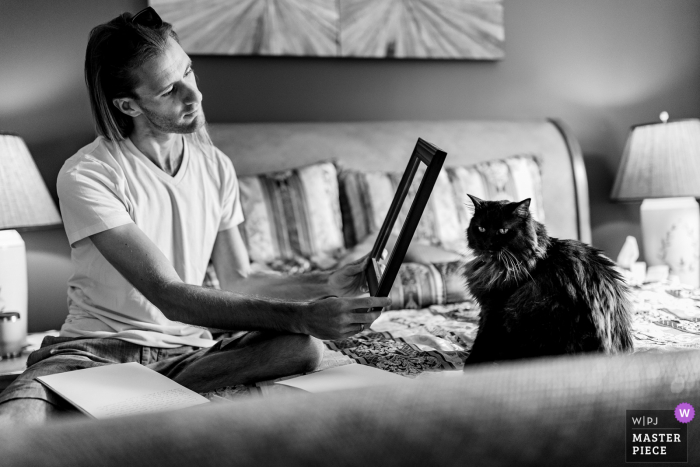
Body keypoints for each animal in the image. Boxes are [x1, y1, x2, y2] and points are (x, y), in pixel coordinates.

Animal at [462, 194, 632, 366]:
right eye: (481, 229)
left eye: (503, 231)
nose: (487, 244)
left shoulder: (494, 307)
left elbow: (482, 339)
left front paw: (470, 364)